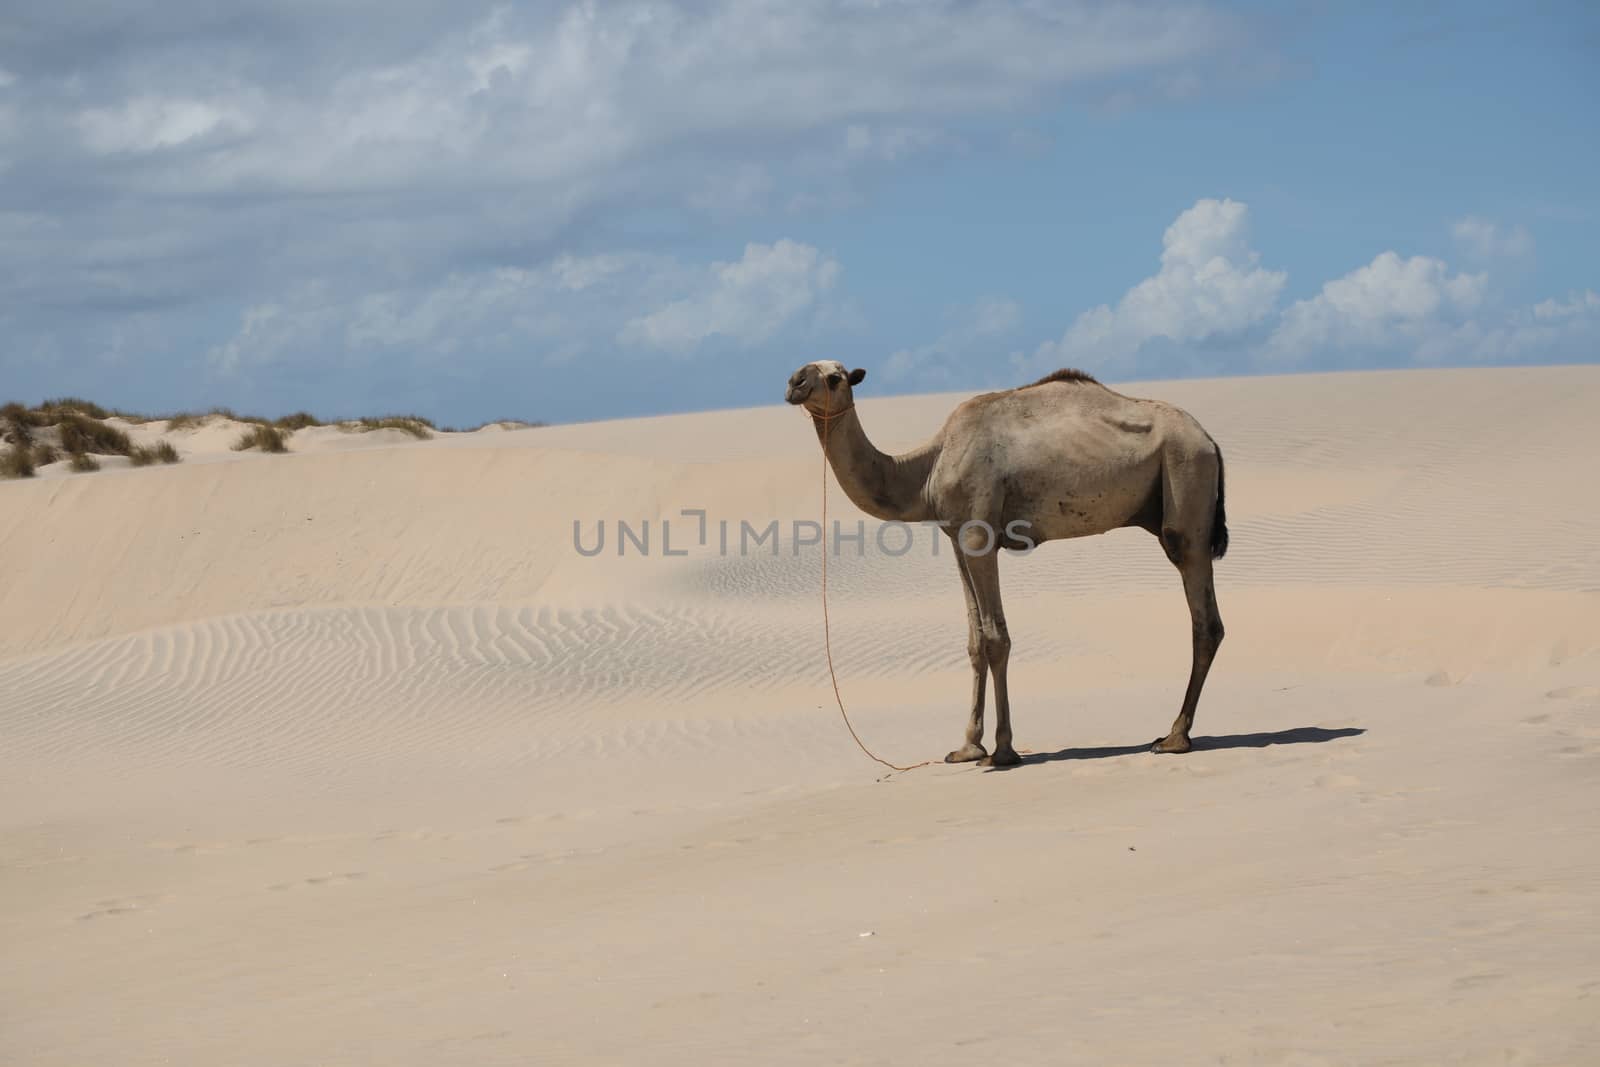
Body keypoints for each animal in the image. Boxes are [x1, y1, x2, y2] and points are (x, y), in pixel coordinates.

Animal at [784, 361, 1222, 767]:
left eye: (836, 377)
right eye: (807, 370)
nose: (794, 382)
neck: (926, 469)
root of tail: (1210, 439)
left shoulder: (980, 536)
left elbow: (997, 638)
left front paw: (1002, 750)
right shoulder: (956, 538)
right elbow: (975, 640)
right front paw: (966, 747)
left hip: (1186, 481)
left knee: (1203, 615)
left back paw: (1174, 738)